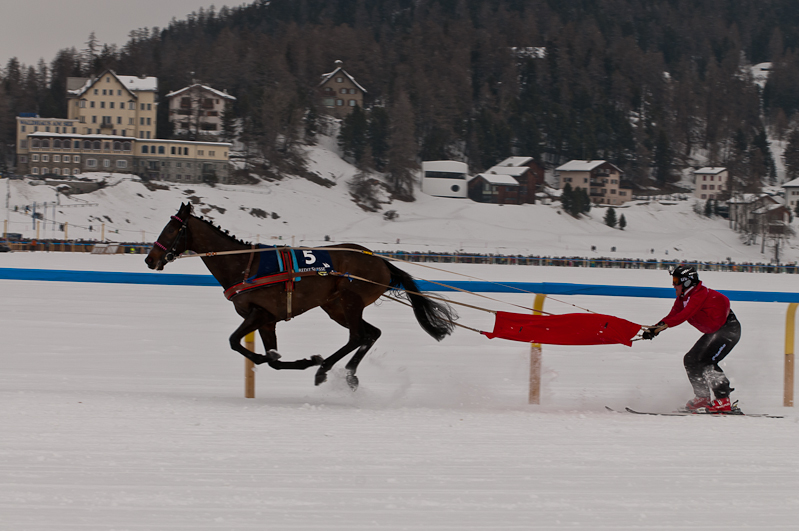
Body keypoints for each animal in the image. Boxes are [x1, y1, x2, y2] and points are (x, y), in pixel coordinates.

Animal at [145, 202, 456, 388]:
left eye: (171, 229)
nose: (150, 259)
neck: (243, 264)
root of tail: (380, 261)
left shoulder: (259, 313)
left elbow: (235, 341)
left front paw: (311, 361)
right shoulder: (268, 320)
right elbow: (272, 358)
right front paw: (302, 360)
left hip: (350, 301)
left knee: (357, 335)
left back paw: (326, 368)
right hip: (335, 307)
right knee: (371, 333)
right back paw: (348, 373)